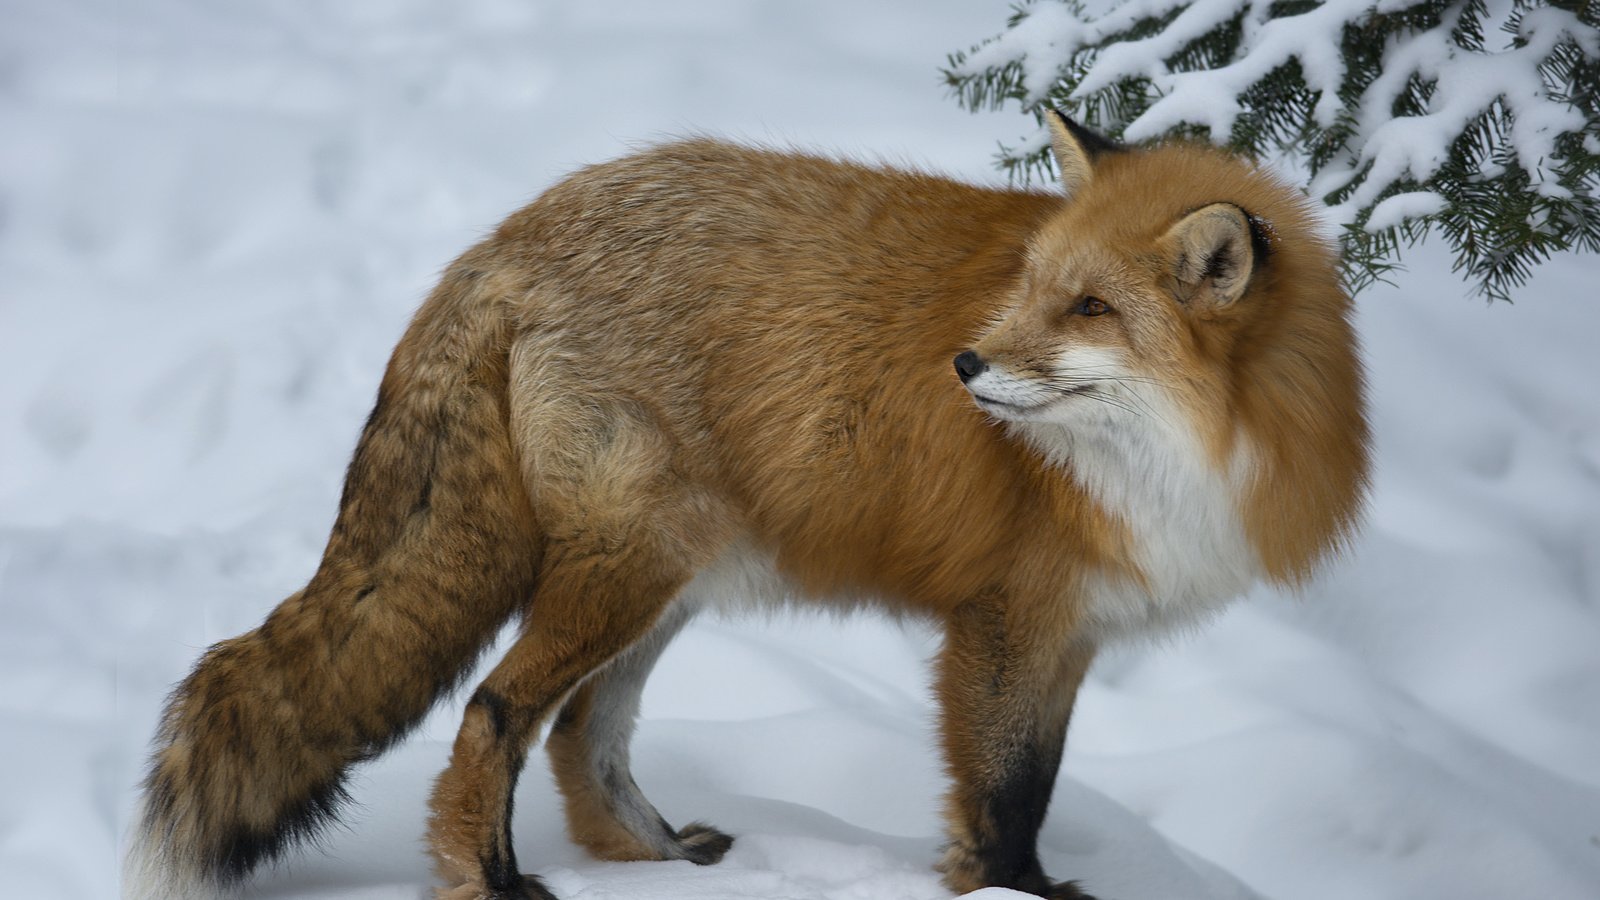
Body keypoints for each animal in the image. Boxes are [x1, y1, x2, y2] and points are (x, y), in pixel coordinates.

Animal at [131, 113, 1369, 896]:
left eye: (1089, 308)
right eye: (1031, 290)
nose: (964, 365)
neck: (1195, 453)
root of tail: (506, 238)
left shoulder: (1072, 636)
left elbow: (1035, 787)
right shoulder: (1005, 623)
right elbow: (1003, 797)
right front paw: (1009, 894)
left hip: (671, 580)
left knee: (583, 735)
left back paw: (660, 867)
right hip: (632, 565)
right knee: (495, 712)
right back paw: (491, 880)